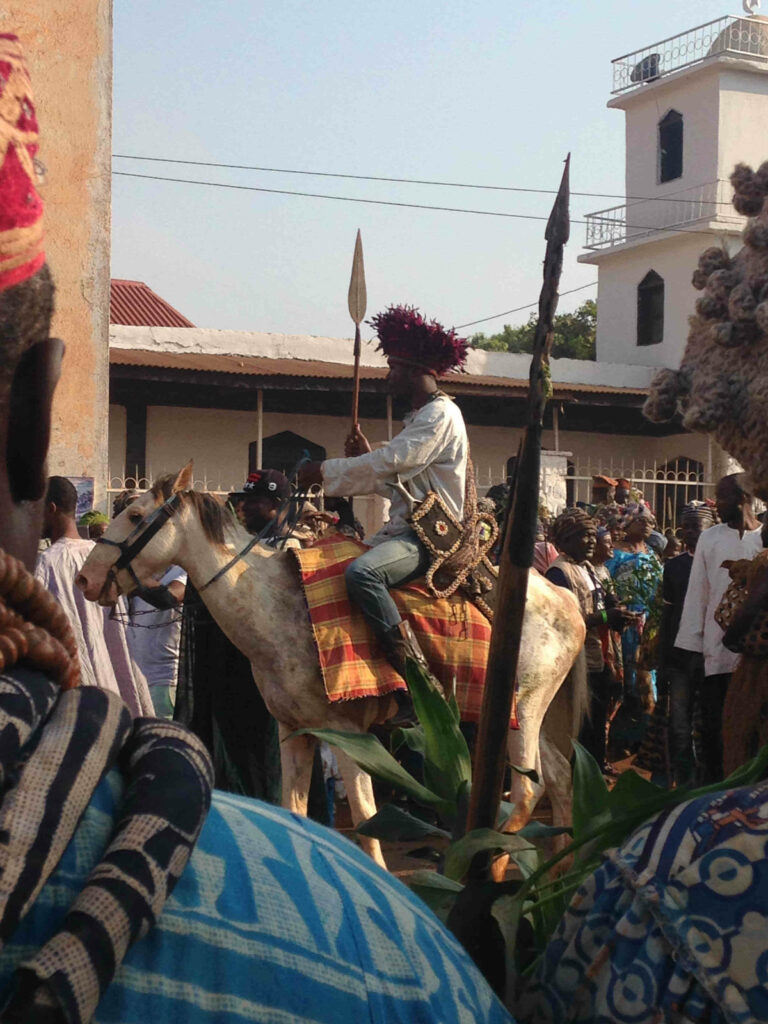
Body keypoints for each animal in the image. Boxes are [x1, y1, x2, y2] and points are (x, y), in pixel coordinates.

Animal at [76, 466, 581, 864]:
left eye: (135, 515)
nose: (86, 578)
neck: (279, 610)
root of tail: (566, 600)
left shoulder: (351, 735)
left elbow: (368, 826)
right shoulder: (295, 731)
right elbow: (294, 810)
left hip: (521, 711)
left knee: (527, 792)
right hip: (525, 717)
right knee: (558, 780)